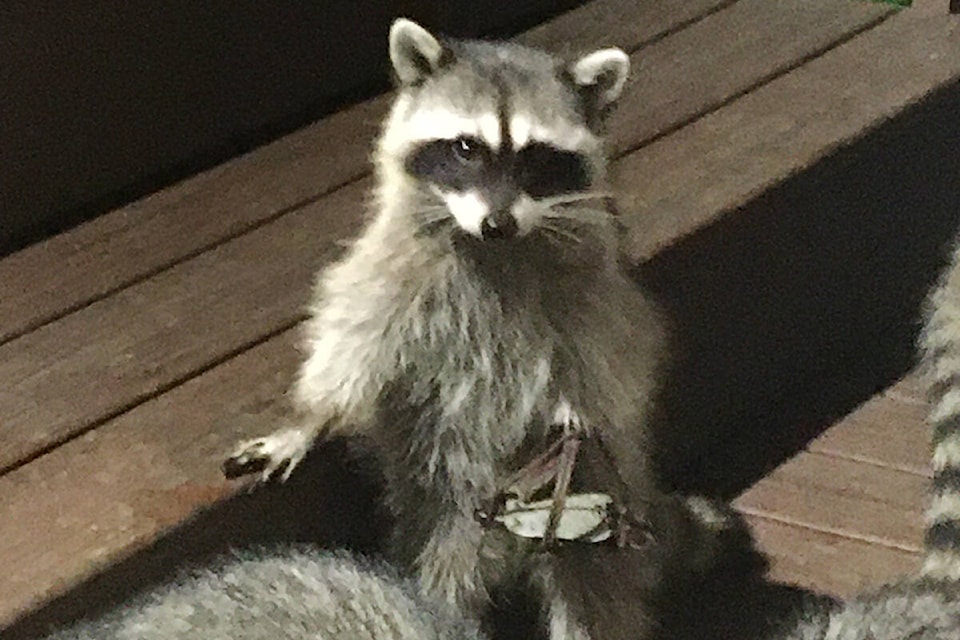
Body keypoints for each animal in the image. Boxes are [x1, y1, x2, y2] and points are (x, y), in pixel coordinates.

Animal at [222, 16, 700, 640]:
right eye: (466, 148)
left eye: (536, 157)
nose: (498, 223)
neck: (493, 247)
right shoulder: (390, 269)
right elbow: (352, 340)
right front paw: (307, 418)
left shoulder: (598, 285)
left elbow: (609, 359)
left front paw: (576, 415)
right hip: (443, 503)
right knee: (442, 572)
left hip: (598, 504)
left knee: (598, 592)